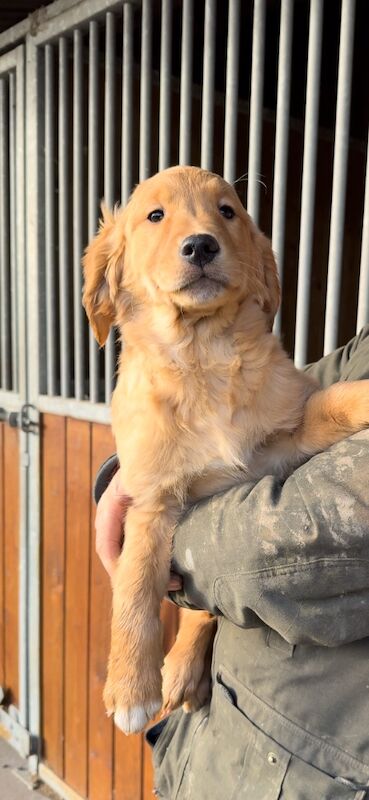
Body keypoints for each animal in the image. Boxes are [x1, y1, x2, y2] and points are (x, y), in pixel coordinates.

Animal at [82, 166, 368, 736]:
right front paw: (130, 688)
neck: (203, 358)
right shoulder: (151, 500)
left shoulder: (285, 439)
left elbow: (334, 400)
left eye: (227, 212)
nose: (201, 245)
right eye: (155, 215)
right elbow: (136, 586)